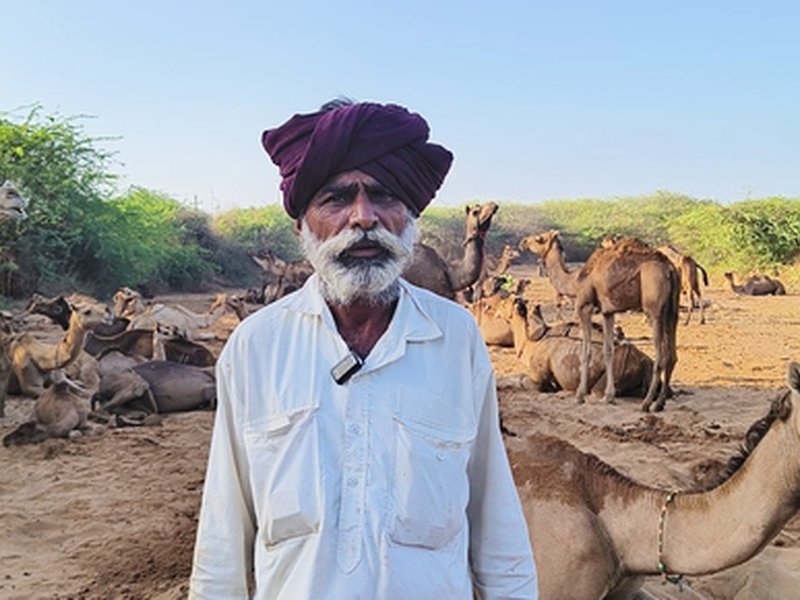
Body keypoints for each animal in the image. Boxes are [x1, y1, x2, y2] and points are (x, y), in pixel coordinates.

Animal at [504, 297, 653, 397]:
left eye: (504, 303)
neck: (531, 342)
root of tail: (646, 362)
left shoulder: (539, 378)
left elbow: (524, 379)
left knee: (597, 392)